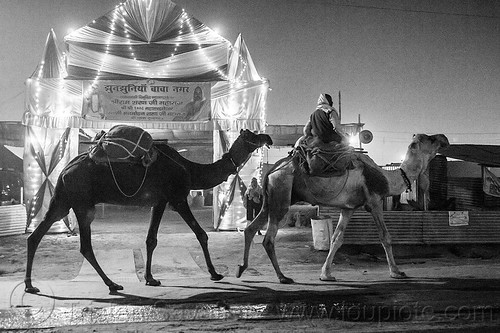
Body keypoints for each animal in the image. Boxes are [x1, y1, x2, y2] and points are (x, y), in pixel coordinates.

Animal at [25, 128, 272, 292]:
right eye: (251, 135)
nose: (267, 137)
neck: (190, 170)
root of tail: (64, 170)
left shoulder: (159, 201)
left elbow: (151, 240)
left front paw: (150, 278)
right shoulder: (177, 198)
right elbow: (201, 234)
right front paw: (215, 274)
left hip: (62, 201)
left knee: (36, 236)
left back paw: (30, 285)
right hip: (83, 204)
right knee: (85, 246)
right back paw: (112, 284)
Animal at [236, 133, 452, 282]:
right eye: (430, 138)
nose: (444, 137)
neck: (386, 178)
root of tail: (272, 170)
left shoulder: (348, 208)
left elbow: (337, 238)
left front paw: (326, 274)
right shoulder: (374, 201)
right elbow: (385, 237)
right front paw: (396, 272)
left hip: (270, 200)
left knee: (250, 229)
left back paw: (241, 268)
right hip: (281, 195)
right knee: (268, 239)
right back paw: (282, 277)